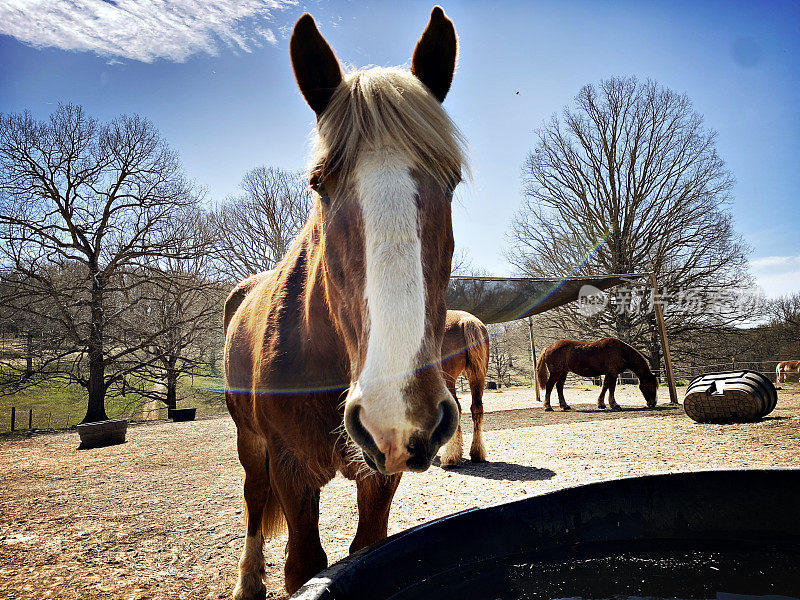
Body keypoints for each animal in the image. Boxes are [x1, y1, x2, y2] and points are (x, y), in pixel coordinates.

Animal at [222, 9, 466, 600]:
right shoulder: (291, 469)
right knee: (252, 499)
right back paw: (248, 580)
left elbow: (366, 550)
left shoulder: (383, 475)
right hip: (250, 442)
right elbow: (303, 565)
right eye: (320, 185)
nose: (397, 413)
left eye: (450, 182)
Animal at [438, 312, 488, 466]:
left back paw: (451, 456)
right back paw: (476, 453)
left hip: (447, 379)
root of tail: (467, 320)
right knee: (477, 409)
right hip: (477, 376)